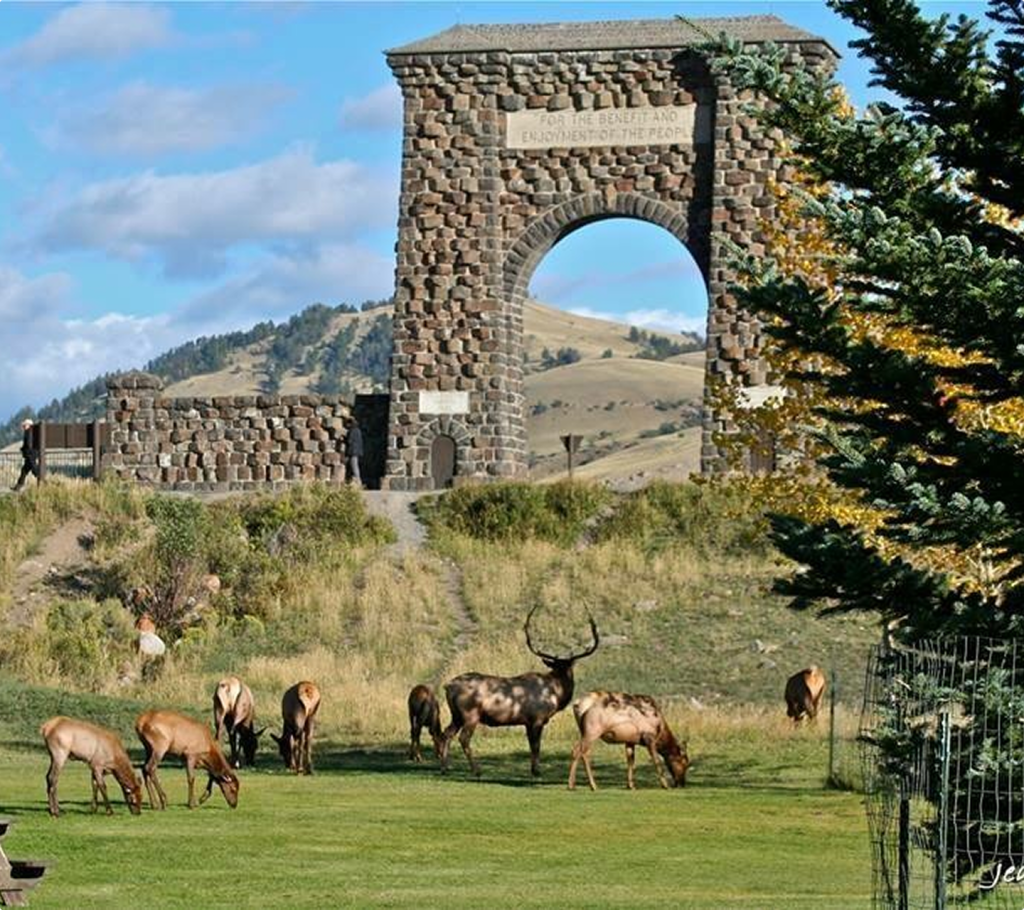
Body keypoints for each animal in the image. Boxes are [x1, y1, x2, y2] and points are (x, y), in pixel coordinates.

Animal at [440, 605, 599, 778]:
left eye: (566, 667)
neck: (555, 694)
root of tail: (448, 686)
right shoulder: (537, 718)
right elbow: (536, 746)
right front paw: (537, 771)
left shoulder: (528, 722)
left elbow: (532, 745)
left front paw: (533, 769)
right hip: (470, 714)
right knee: (463, 738)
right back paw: (476, 770)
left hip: (456, 715)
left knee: (447, 733)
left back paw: (445, 767)